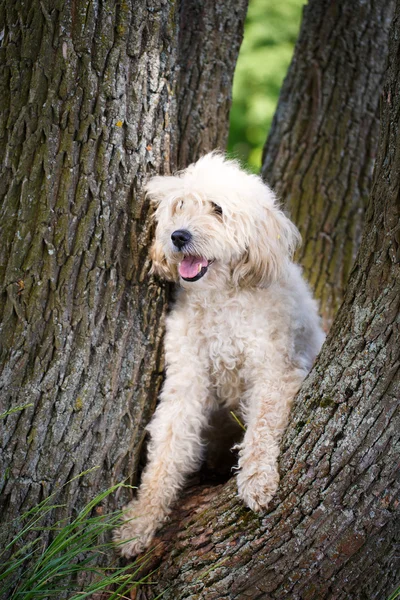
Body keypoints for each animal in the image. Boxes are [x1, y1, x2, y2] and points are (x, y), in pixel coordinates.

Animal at [113, 154, 324, 556]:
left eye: (217, 209)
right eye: (180, 206)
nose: (178, 236)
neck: (221, 296)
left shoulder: (276, 373)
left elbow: (262, 428)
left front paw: (257, 480)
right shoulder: (185, 382)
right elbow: (167, 450)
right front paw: (140, 521)